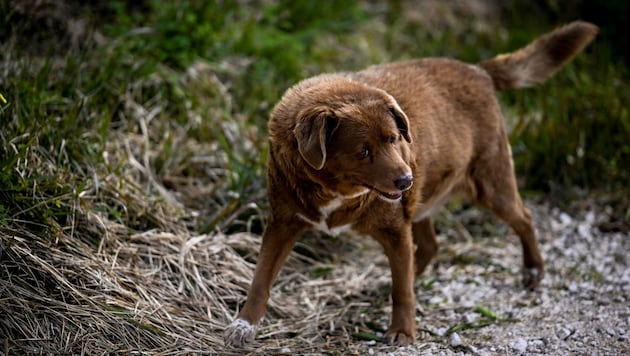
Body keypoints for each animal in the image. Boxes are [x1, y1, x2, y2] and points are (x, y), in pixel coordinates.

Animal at [225, 20, 600, 346]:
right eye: (363, 151)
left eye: (394, 139)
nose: (406, 179)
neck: (336, 191)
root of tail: (479, 70)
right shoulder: (283, 222)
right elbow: (261, 277)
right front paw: (244, 324)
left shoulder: (394, 228)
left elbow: (402, 290)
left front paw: (403, 331)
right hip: (422, 201)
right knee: (428, 246)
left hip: (489, 183)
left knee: (523, 218)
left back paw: (533, 270)